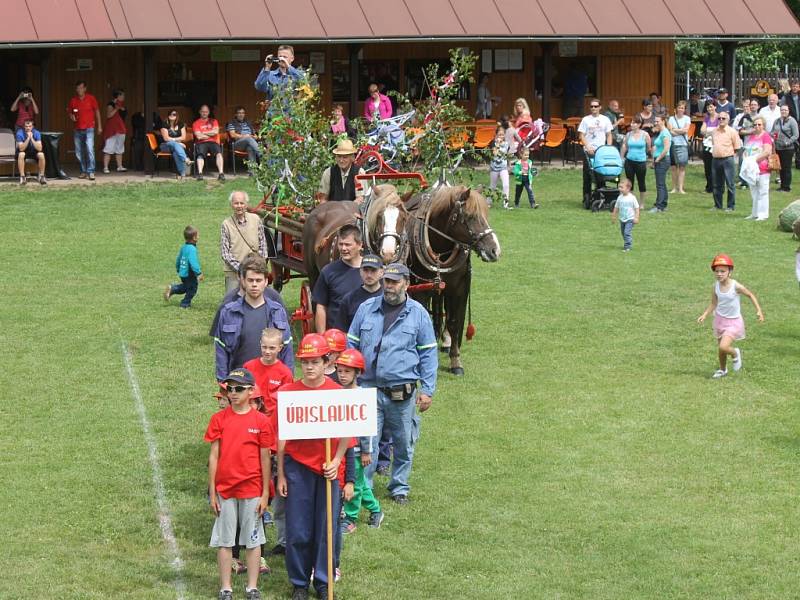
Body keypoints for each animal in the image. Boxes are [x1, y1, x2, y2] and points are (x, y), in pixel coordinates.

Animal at [406, 185, 500, 376]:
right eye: (470, 216)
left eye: (486, 215)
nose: (495, 250)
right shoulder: (420, 288)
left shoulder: (458, 288)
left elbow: (454, 322)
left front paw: (456, 361)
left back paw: (446, 341)